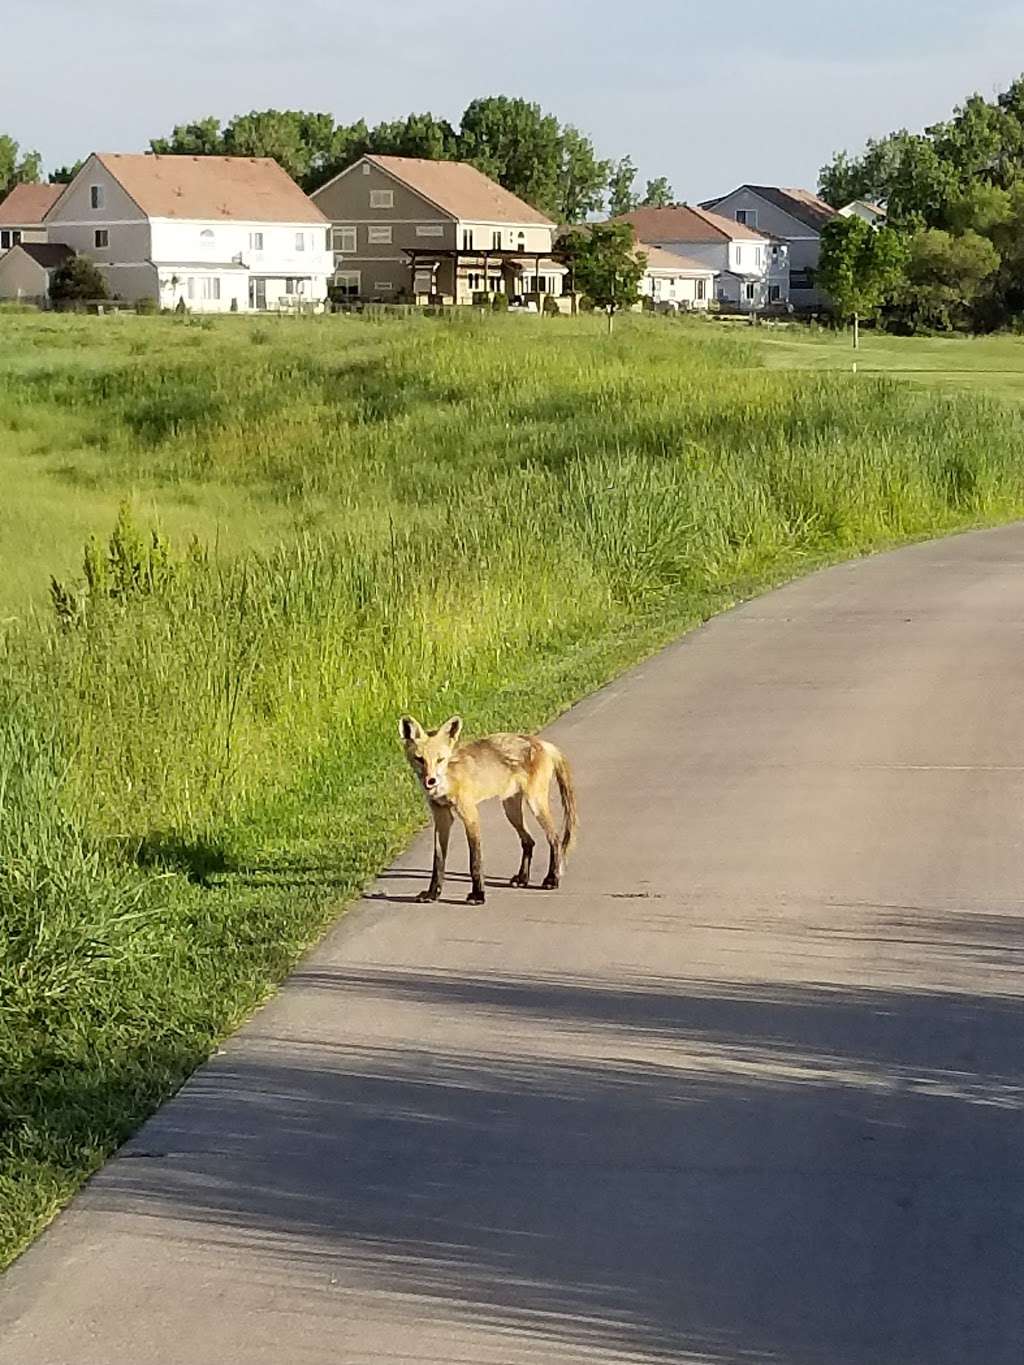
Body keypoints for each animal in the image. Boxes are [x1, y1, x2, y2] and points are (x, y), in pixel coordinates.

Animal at [398, 715, 578, 906]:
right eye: (419, 759)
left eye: (440, 759)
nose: (430, 781)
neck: (449, 780)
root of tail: (541, 742)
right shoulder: (442, 817)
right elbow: (438, 862)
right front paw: (433, 893)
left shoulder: (470, 814)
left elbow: (475, 861)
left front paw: (478, 895)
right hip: (510, 809)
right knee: (529, 841)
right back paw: (522, 878)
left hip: (535, 803)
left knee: (555, 839)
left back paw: (552, 878)